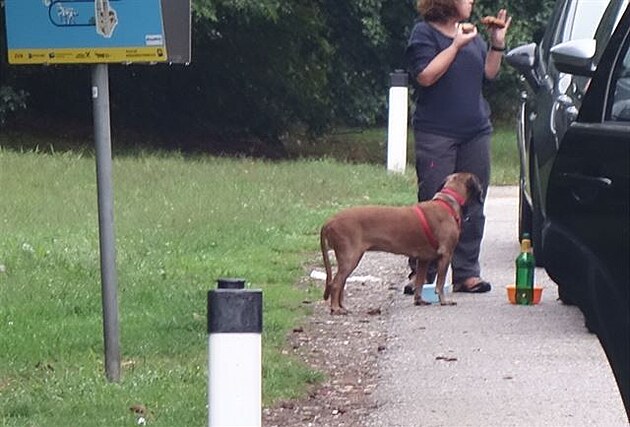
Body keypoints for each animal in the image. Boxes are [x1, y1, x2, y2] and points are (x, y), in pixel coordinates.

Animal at [320, 172, 484, 316]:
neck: (447, 202)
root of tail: (329, 221)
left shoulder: (423, 259)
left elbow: (419, 283)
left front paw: (419, 300)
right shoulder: (446, 254)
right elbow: (440, 283)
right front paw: (444, 301)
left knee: (341, 283)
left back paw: (341, 306)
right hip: (350, 257)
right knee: (336, 283)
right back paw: (336, 308)